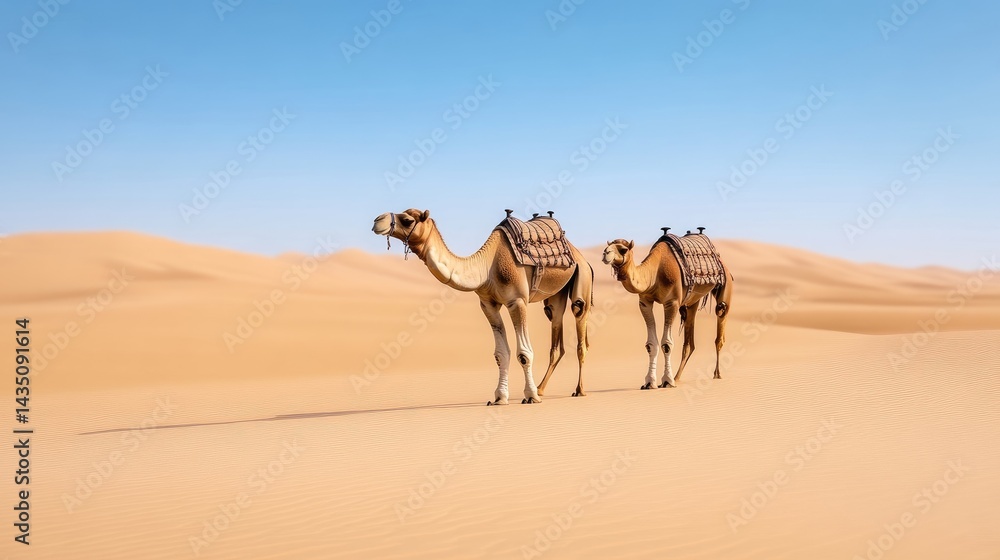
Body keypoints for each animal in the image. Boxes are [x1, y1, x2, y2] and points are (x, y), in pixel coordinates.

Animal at [372, 209, 594, 405]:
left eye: (408, 220)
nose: (377, 221)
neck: (487, 266)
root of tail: (580, 256)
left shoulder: (517, 301)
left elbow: (524, 353)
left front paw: (530, 397)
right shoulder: (488, 305)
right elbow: (500, 354)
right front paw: (499, 398)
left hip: (581, 279)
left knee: (579, 326)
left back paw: (578, 390)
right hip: (555, 296)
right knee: (556, 331)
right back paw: (541, 389)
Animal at [601, 232, 733, 390]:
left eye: (623, 249)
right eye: (609, 246)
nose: (605, 253)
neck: (654, 273)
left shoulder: (672, 302)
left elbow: (667, 344)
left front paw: (667, 381)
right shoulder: (644, 302)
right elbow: (651, 344)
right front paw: (649, 382)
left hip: (725, 286)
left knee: (720, 327)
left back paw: (716, 374)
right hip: (692, 301)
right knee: (689, 343)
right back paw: (677, 377)